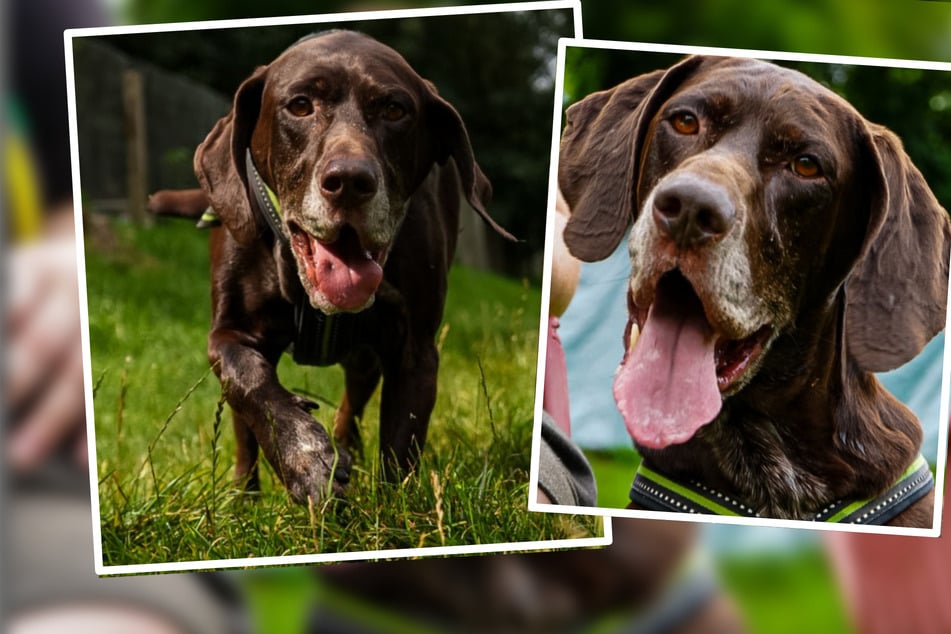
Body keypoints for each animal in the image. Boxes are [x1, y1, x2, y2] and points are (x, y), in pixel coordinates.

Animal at [151, 30, 512, 504]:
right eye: (301, 105)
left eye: (395, 110)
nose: (350, 181)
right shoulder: (228, 335)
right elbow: (252, 384)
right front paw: (306, 460)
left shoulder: (415, 351)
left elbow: (400, 449)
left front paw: (393, 516)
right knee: (244, 429)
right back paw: (244, 499)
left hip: (366, 358)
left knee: (351, 405)